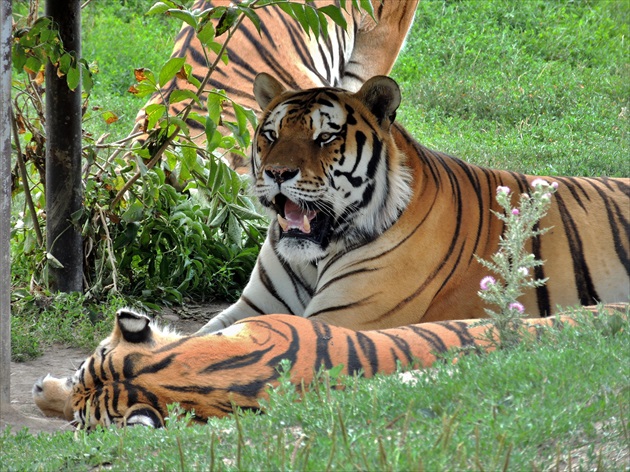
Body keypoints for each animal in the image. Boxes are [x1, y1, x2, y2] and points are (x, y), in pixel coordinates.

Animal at [195, 72, 628, 334]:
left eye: (325, 138)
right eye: (271, 135)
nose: (277, 173)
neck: (313, 259)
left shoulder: (342, 317)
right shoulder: (253, 307)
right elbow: (200, 336)